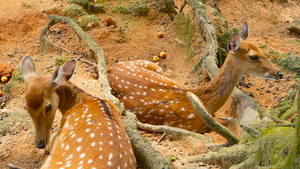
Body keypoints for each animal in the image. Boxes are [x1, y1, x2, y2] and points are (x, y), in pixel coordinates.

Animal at [108, 22, 284, 133]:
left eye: (261, 50)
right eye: (254, 57)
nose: (279, 73)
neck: (205, 103)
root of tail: (110, 69)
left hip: (152, 66)